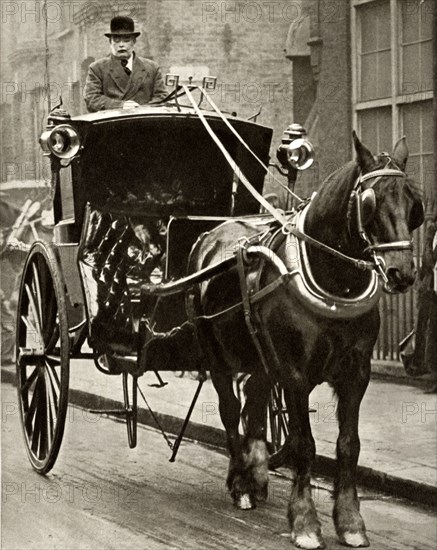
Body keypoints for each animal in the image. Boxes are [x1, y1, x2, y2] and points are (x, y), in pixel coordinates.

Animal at [187, 135, 422, 550]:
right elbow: (303, 444)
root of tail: (209, 235)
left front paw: (350, 522)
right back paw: (240, 483)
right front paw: (305, 522)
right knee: (231, 411)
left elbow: (348, 444)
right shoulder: (295, 374)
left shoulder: (356, 374)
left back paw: (256, 473)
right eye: (370, 201)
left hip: (263, 358)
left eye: (413, 203)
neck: (335, 282)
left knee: (255, 401)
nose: (402, 273)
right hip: (216, 355)